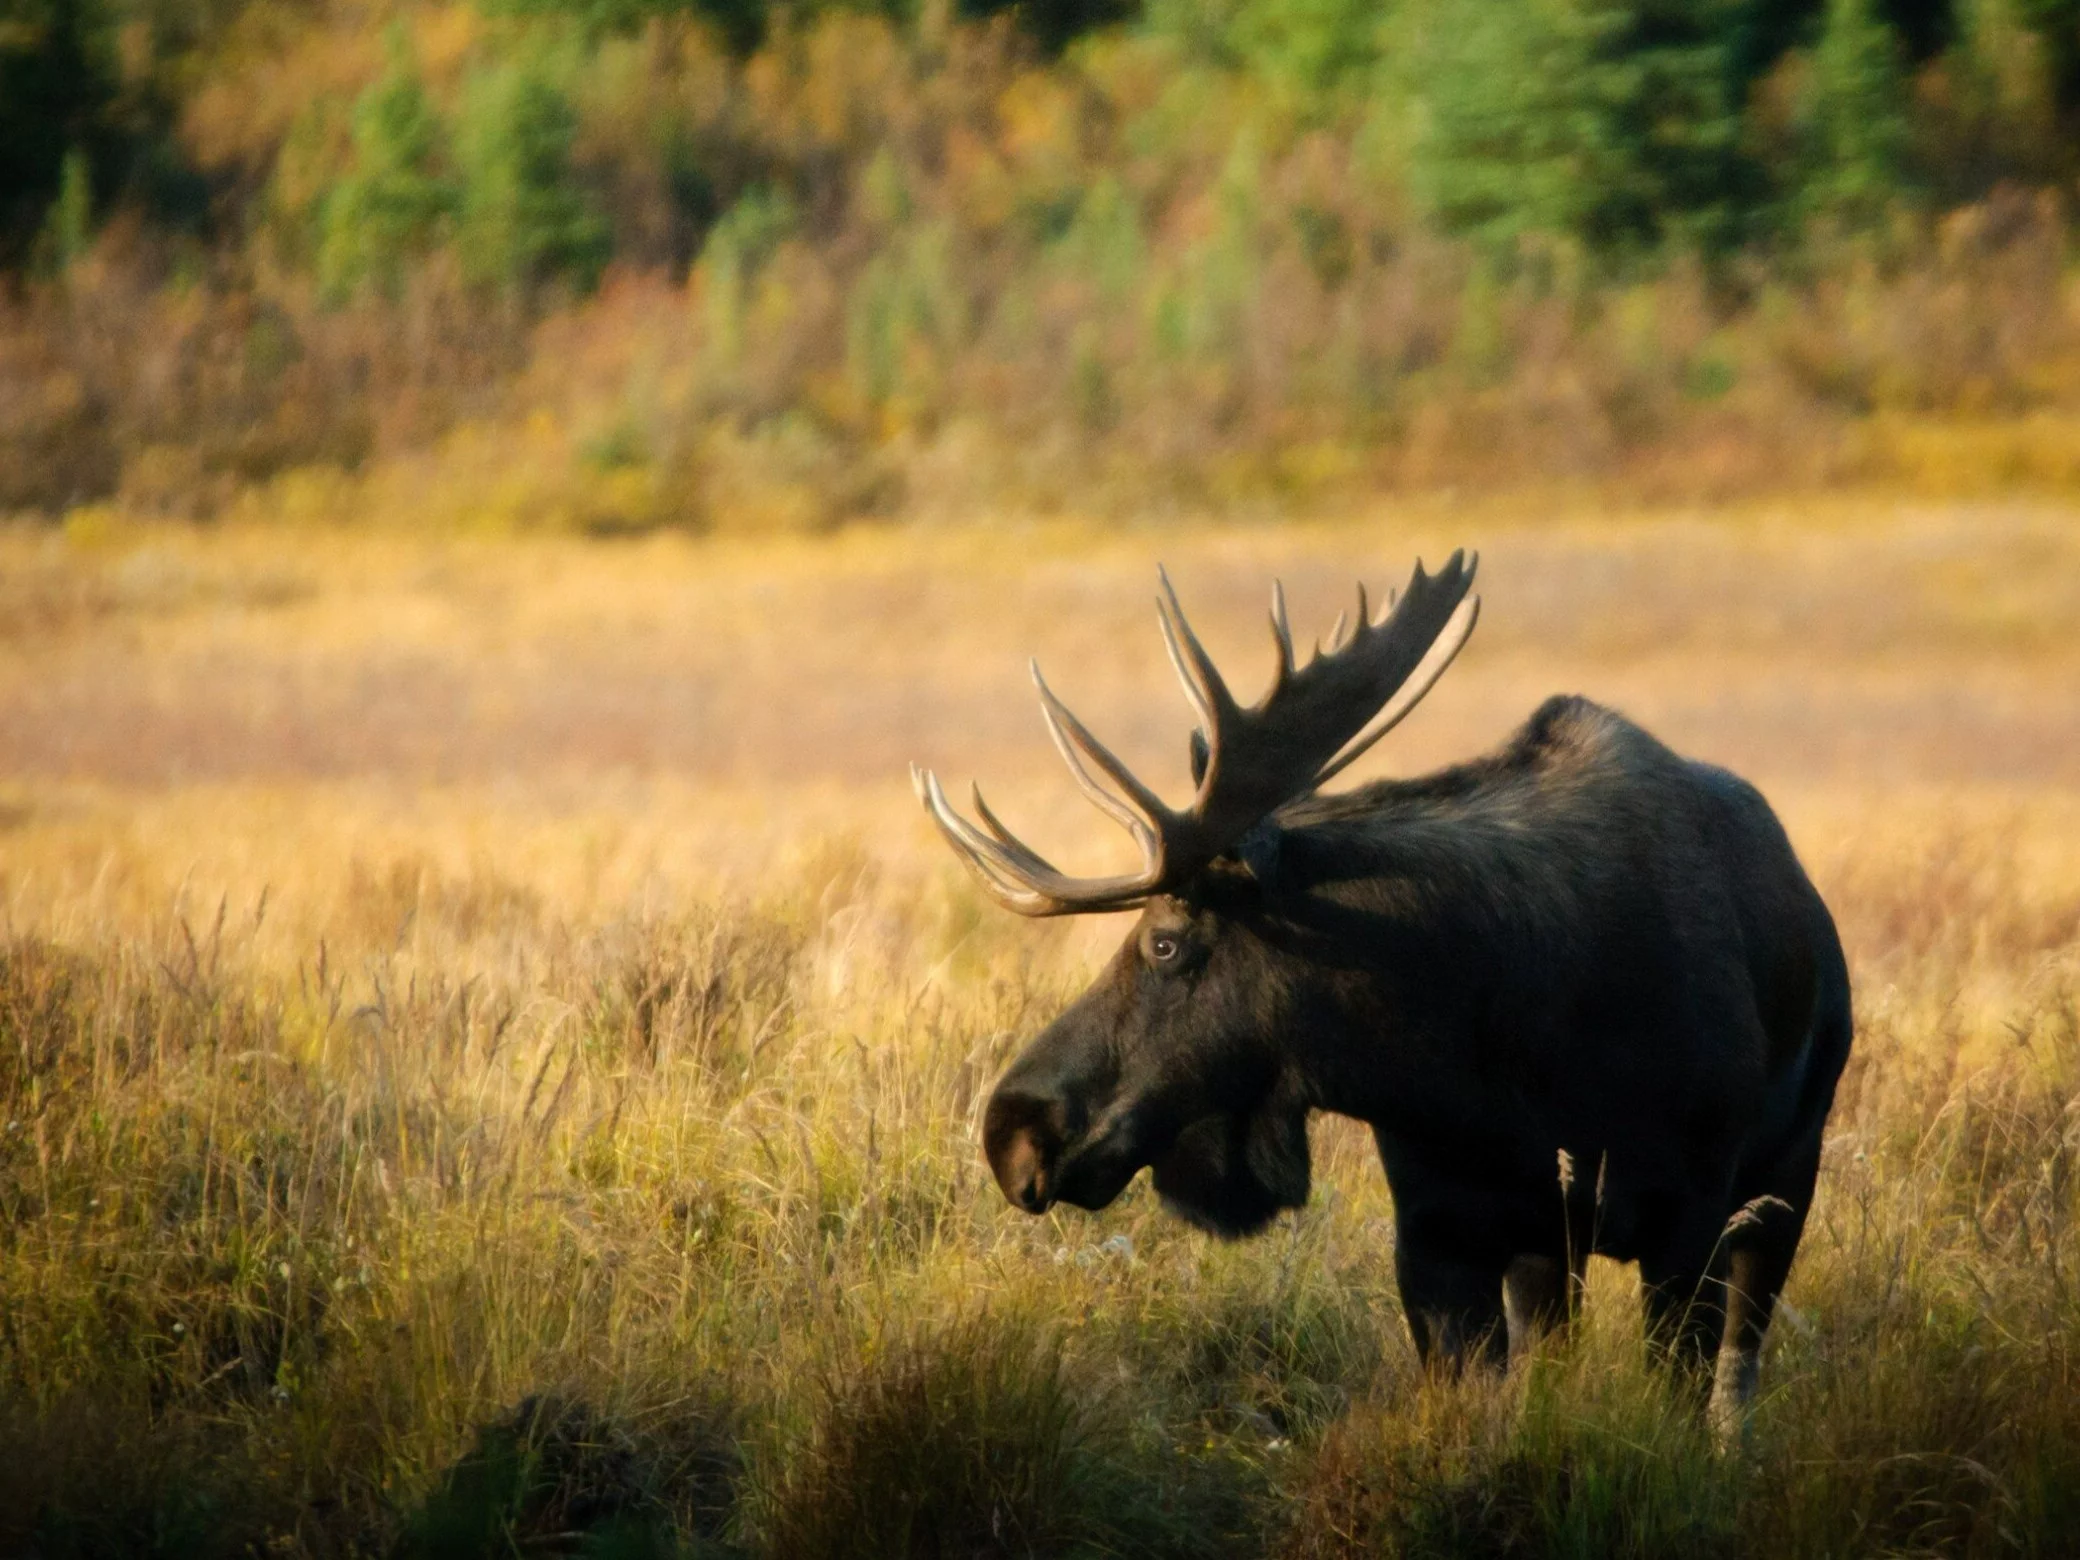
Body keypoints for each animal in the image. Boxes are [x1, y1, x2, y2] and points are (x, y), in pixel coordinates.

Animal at [911, 544, 1855, 1431]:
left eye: (1166, 942)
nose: (1011, 1129)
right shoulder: (1444, 1231)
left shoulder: (1686, 1215)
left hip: (1785, 1179)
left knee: (1740, 1373)